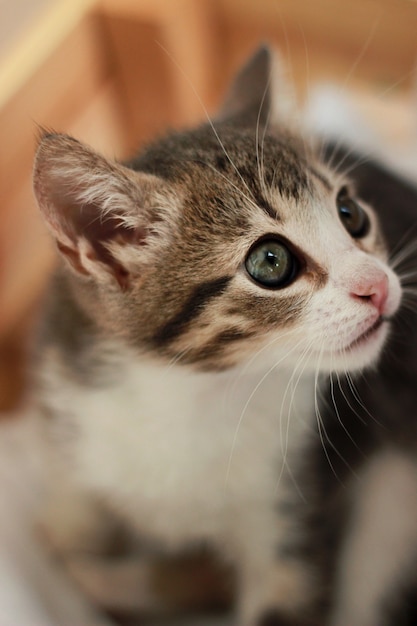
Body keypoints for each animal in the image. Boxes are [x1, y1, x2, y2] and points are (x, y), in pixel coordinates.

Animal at [30, 48, 402, 624]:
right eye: (270, 261)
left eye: (351, 213)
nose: (379, 287)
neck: (189, 393)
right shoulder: (68, 401)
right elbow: (73, 509)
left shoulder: (295, 502)